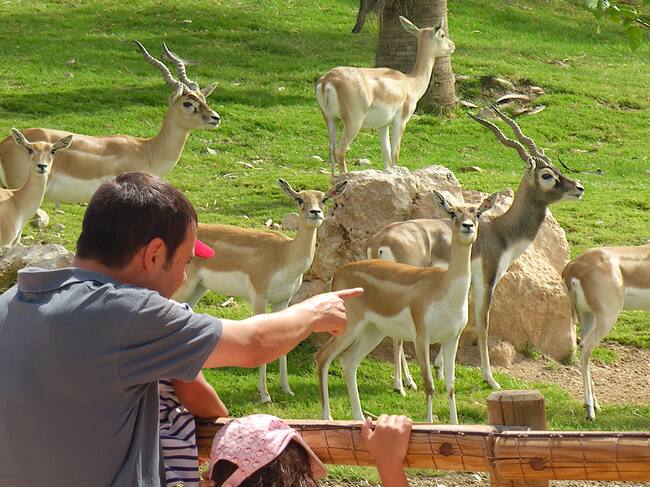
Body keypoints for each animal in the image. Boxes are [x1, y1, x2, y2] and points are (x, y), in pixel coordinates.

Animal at [173, 179, 348, 403]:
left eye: (324, 198)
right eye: (299, 198)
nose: (315, 212)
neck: (284, 255)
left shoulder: (283, 301)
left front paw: (286, 389)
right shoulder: (259, 298)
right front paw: (264, 394)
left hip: (197, 289)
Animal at [315, 16, 455, 178]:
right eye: (442, 34)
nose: (452, 45)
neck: (411, 82)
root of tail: (327, 80)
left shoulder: (383, 125)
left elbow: (386, 154)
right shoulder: (401, 122)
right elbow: (395, 154)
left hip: (331, 119)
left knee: (330, 149)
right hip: (353, 122)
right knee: (340, 150)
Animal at [316, 190, 498, 424]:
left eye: (477, 213)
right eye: (452, 213)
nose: (467, 226)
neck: (444, 289)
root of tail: (338, 274)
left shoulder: (452, 339)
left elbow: (450, 387)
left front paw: (455, 424)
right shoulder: (422, 338)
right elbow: (429, 385)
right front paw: (429, 421)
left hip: (372, 332)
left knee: (348, 363)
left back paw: (359, 417)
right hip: (350, 327)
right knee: (323, 357)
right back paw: (327, 417)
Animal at [367, 106, 585, 394]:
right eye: (547, 175)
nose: (579, 188)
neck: (501, 232)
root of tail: (379, 240)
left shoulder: (468, 285)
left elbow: (466, 320)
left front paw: (440, 369)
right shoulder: (487, 282)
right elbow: (483, 324)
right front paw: (490, 378)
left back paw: (406, 381)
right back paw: (404, 383)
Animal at [563, 243, 650, 421]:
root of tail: (572, 266)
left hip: (587, 315)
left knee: (582, 345)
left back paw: (594, 405)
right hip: (607, 316)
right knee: (586, 346)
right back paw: (590, 411)